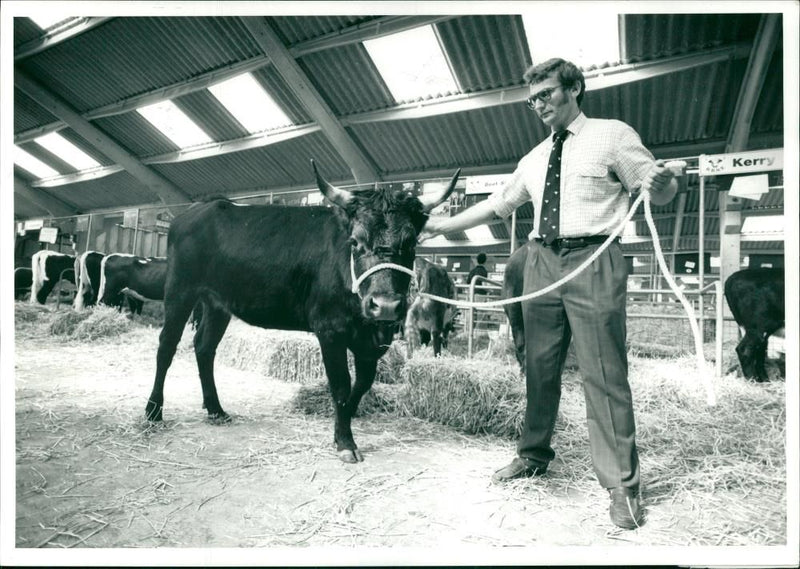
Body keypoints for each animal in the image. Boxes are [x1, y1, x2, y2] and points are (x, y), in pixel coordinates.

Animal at [147, 160, 460, 462]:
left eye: (411, 242)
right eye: (355, 242)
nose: (384, 305)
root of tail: (198, 209)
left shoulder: (373, 340)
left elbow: (361, 385)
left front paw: (343, 425)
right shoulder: (330, 329)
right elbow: (341, 385)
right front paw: (345, 443)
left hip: (217, 304)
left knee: (204, 347)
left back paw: (215, 409)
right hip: (180, 290)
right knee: (166, 346)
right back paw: (153, 411)